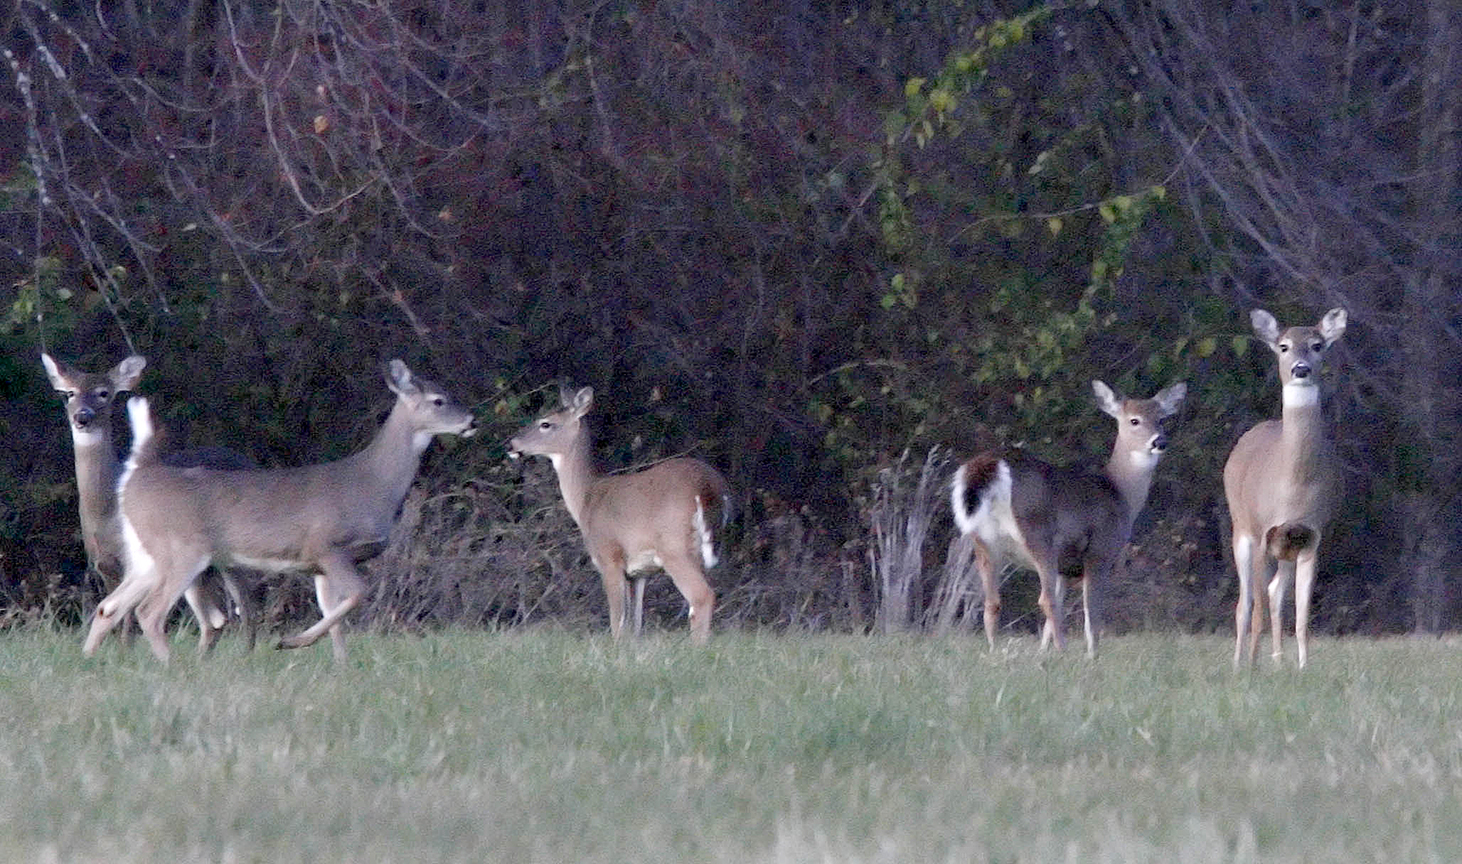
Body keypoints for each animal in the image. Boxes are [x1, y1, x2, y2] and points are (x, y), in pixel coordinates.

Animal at [42, 352, 256, 653]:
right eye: (70, 393)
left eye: (103, 393)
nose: (82, 416)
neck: (106, 511)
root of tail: (249, 462)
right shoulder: (102, 563)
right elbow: (113, 611)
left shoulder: (132, 560)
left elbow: (126, 617)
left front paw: (124, 653)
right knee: (215, 619)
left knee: (245, 609)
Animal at [80, 359, 477, 664]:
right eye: (439, 400)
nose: (471, 421)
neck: (373, 483)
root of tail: (137, 477)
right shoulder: (327, 546)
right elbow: (357, 595)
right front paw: (292, 642)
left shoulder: (319, 566)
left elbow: (334, 614)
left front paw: (340, 664)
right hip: (183, 549)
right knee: (149, 612)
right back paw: (172, 665)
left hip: (146, 554)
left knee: (109, 606)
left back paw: (91, 660)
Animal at [507, 386, 732, 643]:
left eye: (546, 423)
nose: (511, 445)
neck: (586, 499)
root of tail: (708, 487)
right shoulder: (639, 572)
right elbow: (636, 622)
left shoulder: (609, 556)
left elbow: (617, 619)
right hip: (703, 551)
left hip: (675, 548)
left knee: (702, 596)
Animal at [950, 380, 1187, 657]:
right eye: (1134, 420)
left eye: (1161, 419)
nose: (1159, 441)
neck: (1120, 492)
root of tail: (992, 464)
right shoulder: (1100, 550)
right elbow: (1091, 612)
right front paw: (1091, 655)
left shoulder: (1065, 567)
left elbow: (1054, 617)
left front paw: (1044, 654)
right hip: (1037, 533)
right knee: (1045, 600)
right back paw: (1062, 649)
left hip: (983, 541)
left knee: (992, 602)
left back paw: (994, 652)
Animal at [1224, 307, 1347, 669]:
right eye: (1283, 346)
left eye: (1318, 345)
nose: (1300, 369)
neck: (1294, 487)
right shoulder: (1262, 531)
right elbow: (1257, 613)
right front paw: (1251, 667)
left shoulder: (1311, 536)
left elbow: (1302, 616)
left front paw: (1303, 667)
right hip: (1241, 528)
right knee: (1245, 603)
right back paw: (1240, 663)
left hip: (1287, 546)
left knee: (1276, 592)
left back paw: (1278, 660)